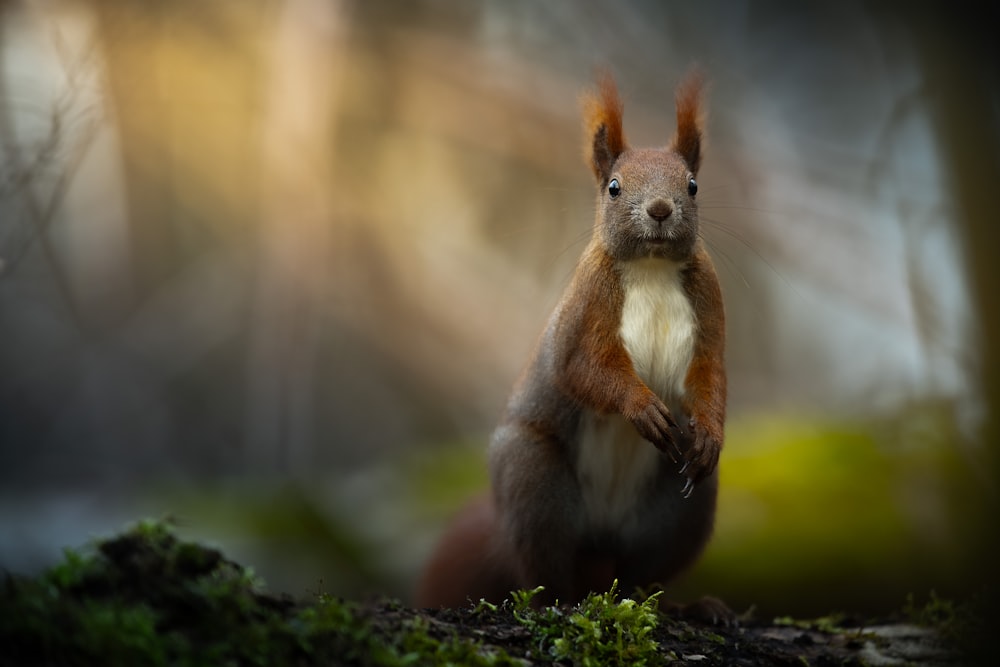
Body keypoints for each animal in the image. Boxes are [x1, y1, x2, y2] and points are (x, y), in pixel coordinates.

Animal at [414, 70, 728, 620]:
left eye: (692, 185)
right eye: (614, 187)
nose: (661, 209)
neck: (652, 267)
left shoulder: (708, 303)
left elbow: (711, 374)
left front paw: (709, 432)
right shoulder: (585, 309)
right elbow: (580, 368)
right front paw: (641, 407)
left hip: (678, 506)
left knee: (638, 573)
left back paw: (675, 605)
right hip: (535, 478)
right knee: (544, 564)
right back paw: (559, 601)